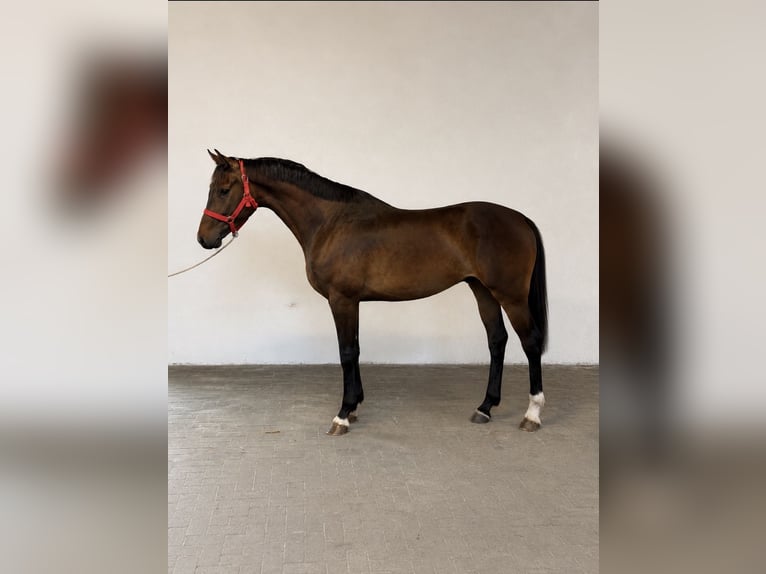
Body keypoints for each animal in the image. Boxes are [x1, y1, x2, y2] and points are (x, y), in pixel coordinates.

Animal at [197, 150, 548, 436]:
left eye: (224, 190)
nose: (203, 239)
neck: (331, 222)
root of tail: (520, 219)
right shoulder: (352, 302)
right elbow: (355, 349)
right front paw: (354, 408)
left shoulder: (342, 299)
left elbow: (346, 352)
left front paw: (342, 416)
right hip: (482, 291)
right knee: (497, 340)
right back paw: (484, 408)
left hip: (511, 296)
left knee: (530, 341)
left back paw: (532, 414)